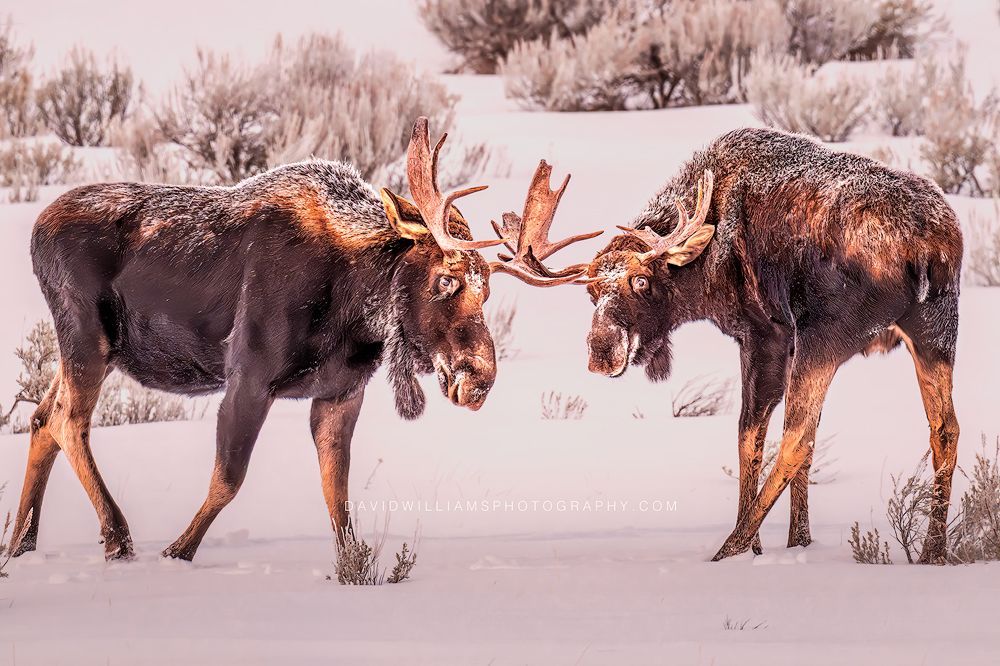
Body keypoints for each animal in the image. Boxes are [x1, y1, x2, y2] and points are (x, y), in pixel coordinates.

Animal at [11, 117, 600, 562]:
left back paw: (20, 543)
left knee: (41, 417)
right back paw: (117, 536)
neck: (355, 308)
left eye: (488, 290)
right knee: (68, 420)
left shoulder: (340, 392)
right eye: (444, 279)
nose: (479, 377)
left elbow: (336, 492)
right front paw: (178, 551)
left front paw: (353, 564)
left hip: (93, 350)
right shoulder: (248, 377)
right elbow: (229, 477)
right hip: (86, 335)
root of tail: (36, 229)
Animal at [582, 127, 962, 563]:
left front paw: (758, 547)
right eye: (591, 292)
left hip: (825, 336)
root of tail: (929, 248)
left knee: (797, 439)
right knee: (944, 429)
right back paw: (933, 550)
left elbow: (749, 435)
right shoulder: (786, 343)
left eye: (641, 281)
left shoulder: (764, 335)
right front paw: (799, 540)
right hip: (935, 330)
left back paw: (729, 547)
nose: (601, 352)